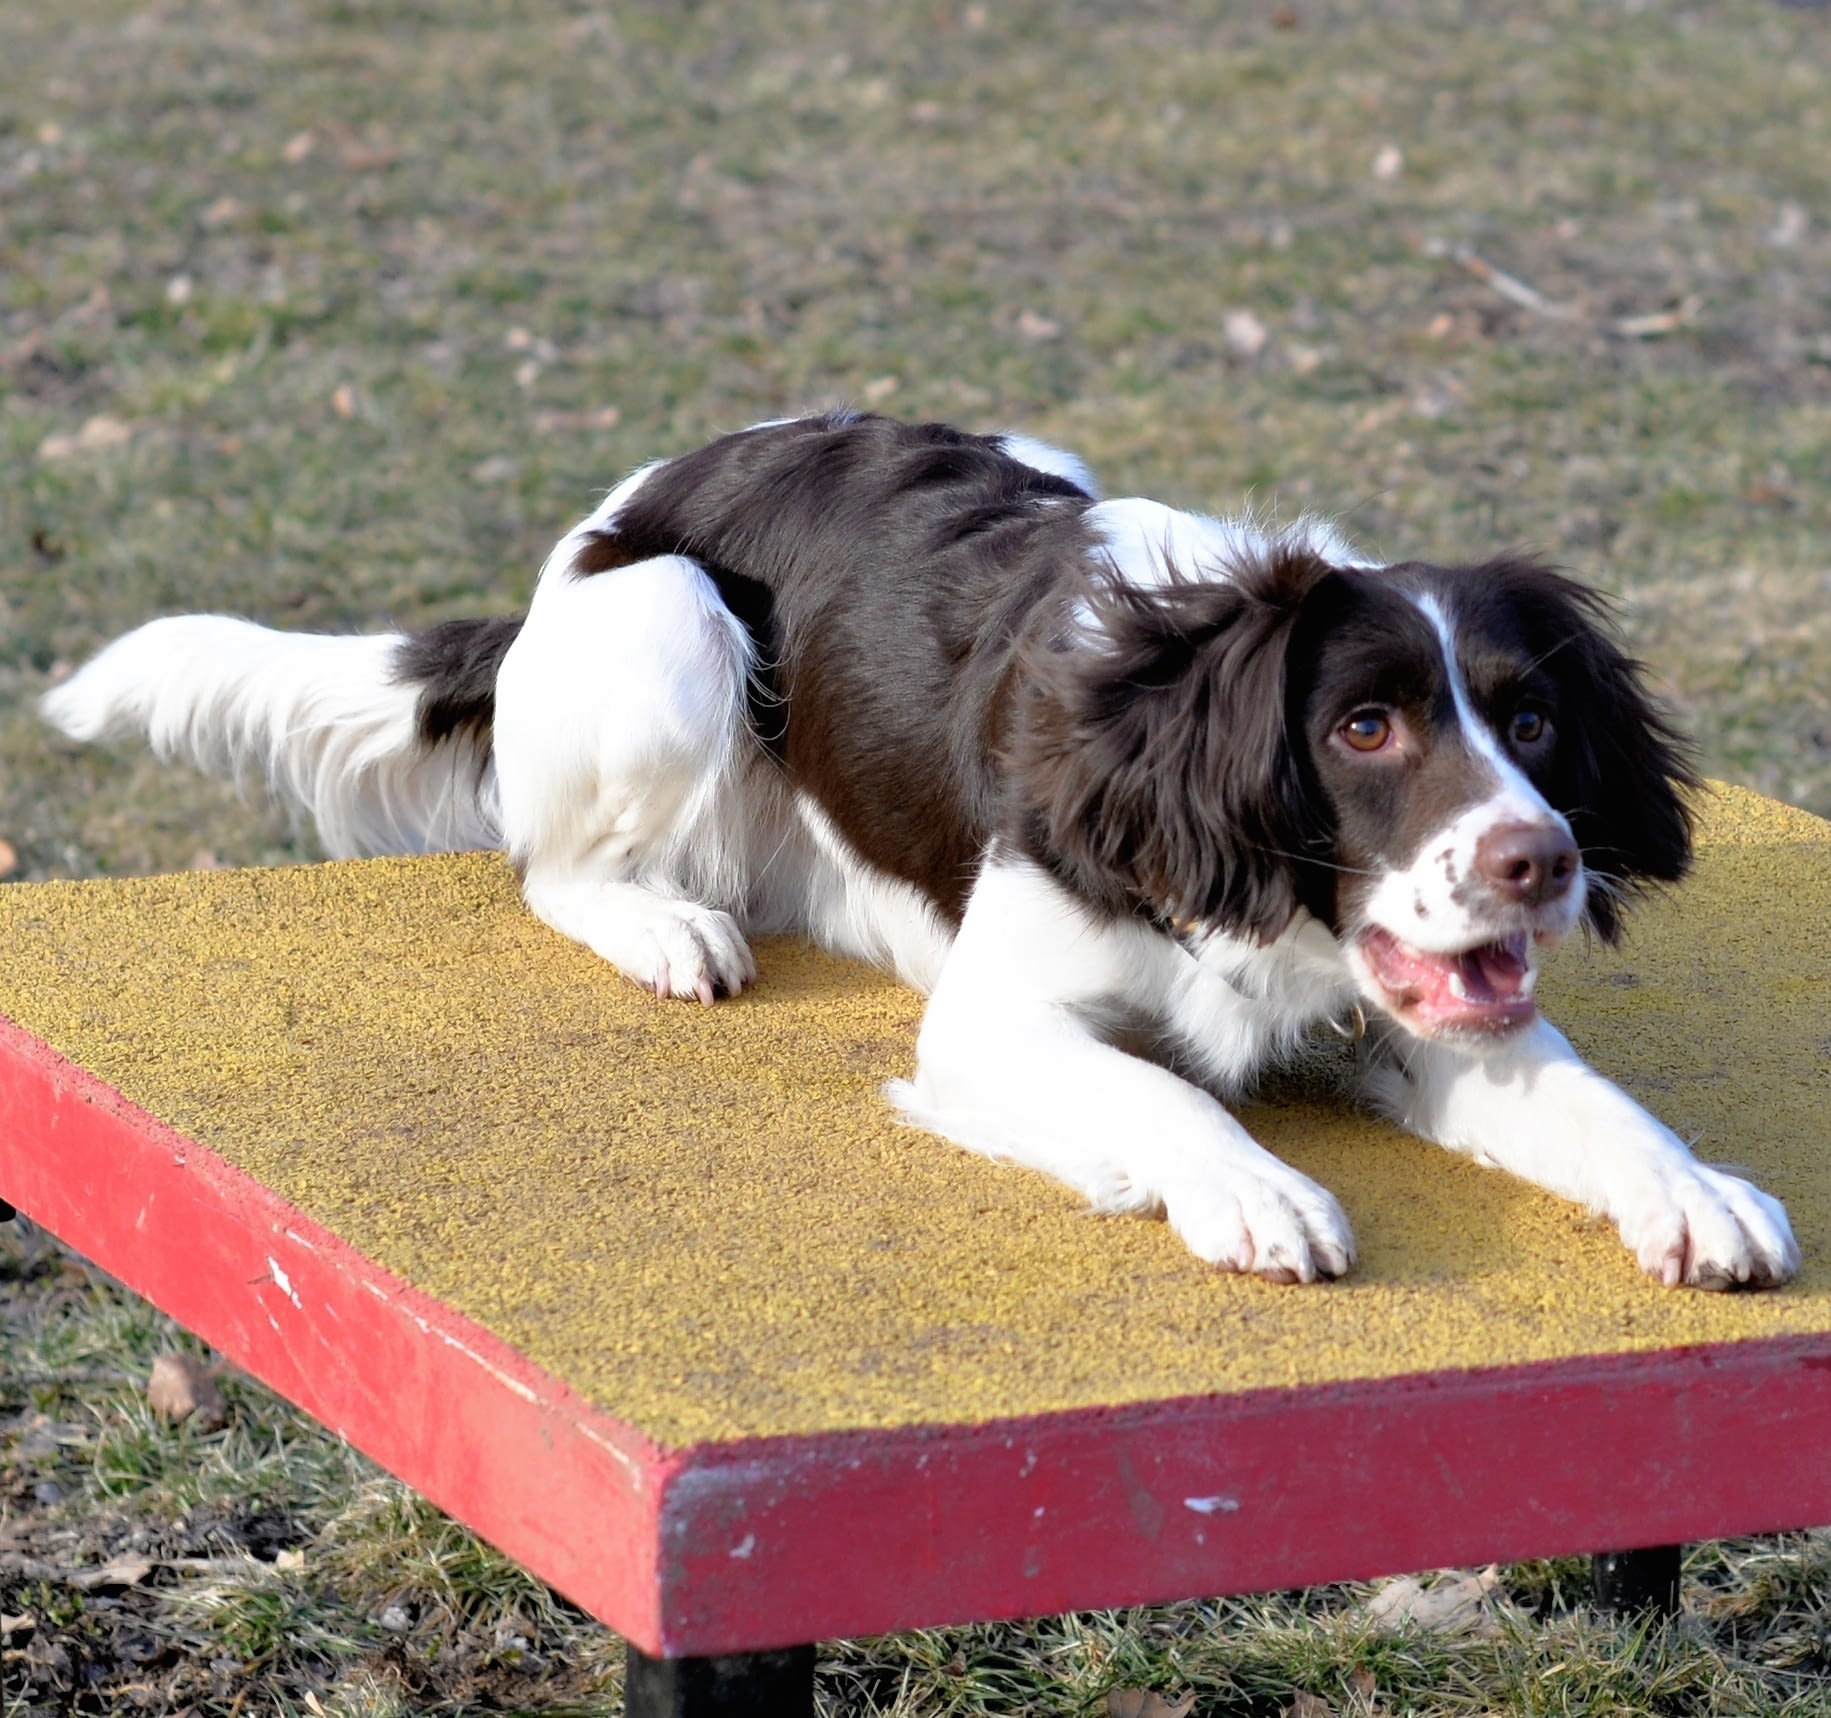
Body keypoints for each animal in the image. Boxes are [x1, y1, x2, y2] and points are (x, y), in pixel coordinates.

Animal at [46, 404, 1801, 1289]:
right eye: (1362, 727)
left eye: (1535, 720)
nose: (1536, 861)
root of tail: (580, 541)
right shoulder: (988, 1020)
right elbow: (1156, 1084)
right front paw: (1254, 1189)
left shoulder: (1413, 1006)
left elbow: (1584, 1092)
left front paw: (1694, 1188)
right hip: (666, 615)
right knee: (548, 866)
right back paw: (666, 927)